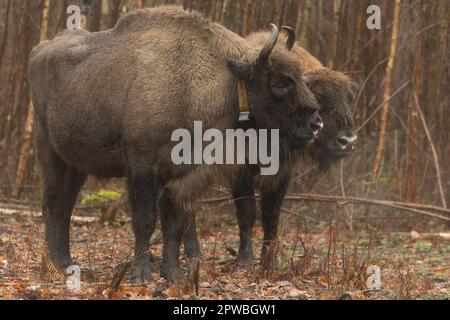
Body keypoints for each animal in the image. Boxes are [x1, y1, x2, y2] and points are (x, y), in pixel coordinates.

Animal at [29, 6, 324, 282]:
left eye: (300, 76)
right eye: (280, 82)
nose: (316, 123)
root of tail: (39, 50)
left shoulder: (184, 174)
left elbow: (175, 223)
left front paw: (173, 273)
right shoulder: (141, 167)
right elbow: (146, 220)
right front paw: (142, 274)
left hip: (75, 165)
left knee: (64, 207)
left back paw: (65, 262)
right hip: (49, 153)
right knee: (52, 204)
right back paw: (51, 265)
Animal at [183, 28, 358, 264]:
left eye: (348, 100)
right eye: (320, 98)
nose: (348, 141)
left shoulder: (283, 173)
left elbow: (271, 215)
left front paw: (270, 259)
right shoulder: (241, 171)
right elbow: (247, 212)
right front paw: (245, 259)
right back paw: (193, 252)